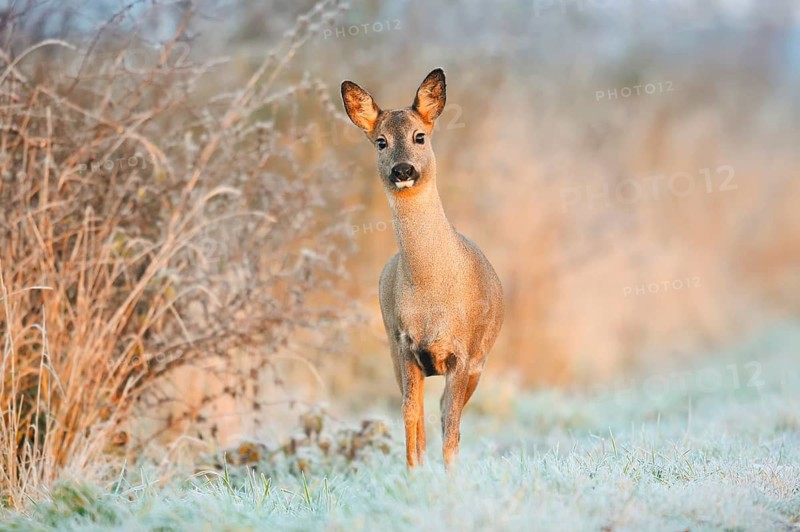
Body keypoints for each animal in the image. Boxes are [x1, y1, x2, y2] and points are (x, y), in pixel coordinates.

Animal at [341, 68, 504, 469]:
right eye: (380, 142)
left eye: (420, 136)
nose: (403, 170)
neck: (432, 289)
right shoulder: (404, 344)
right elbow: (410, 414)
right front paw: (414, 473)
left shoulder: (463, 353)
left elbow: (451, 420)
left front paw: (450, 476)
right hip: (391, 349)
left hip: (480, 360)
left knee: (447, 412)